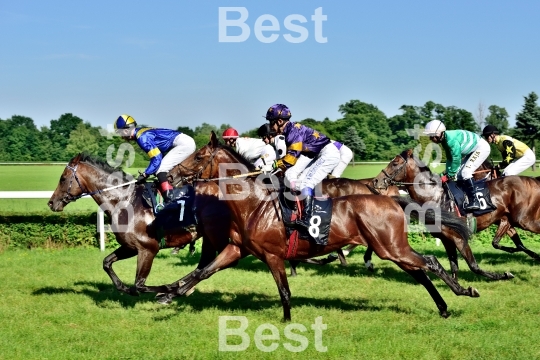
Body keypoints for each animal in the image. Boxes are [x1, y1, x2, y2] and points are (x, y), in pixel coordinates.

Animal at [166, 134, 480, 320]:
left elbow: (285, 291)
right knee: (421, 273)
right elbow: (203, 271)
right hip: (390, 248)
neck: (255, 203)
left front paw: (286, 322)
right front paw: (168, 292)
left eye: (197, 157)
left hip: (391, 247)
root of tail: (392, 199)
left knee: (430, 262)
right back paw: (444, 307)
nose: (170, 175)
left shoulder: (272, 255)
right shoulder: (236, 249)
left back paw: (464, 291)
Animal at [374, 148, 540, 262]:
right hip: (511, 219)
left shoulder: (457, 234)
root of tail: (533, 180)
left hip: (525, 220)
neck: (435, 196)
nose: (376, 180)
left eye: (395, 163)